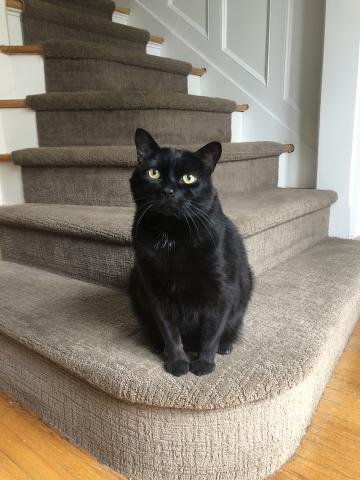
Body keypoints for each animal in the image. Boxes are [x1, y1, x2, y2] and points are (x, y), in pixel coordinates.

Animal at [129, 129, 253, 376]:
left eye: (189, 178)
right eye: (153, 173)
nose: (168, 191)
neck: (172, 235)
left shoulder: (220, 291)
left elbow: (211, 332)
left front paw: (204, 364)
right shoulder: (155, 291)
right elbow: (170, 333)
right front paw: (178, 363)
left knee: (230, 327)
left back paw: (225, 345)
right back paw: (156, 345)